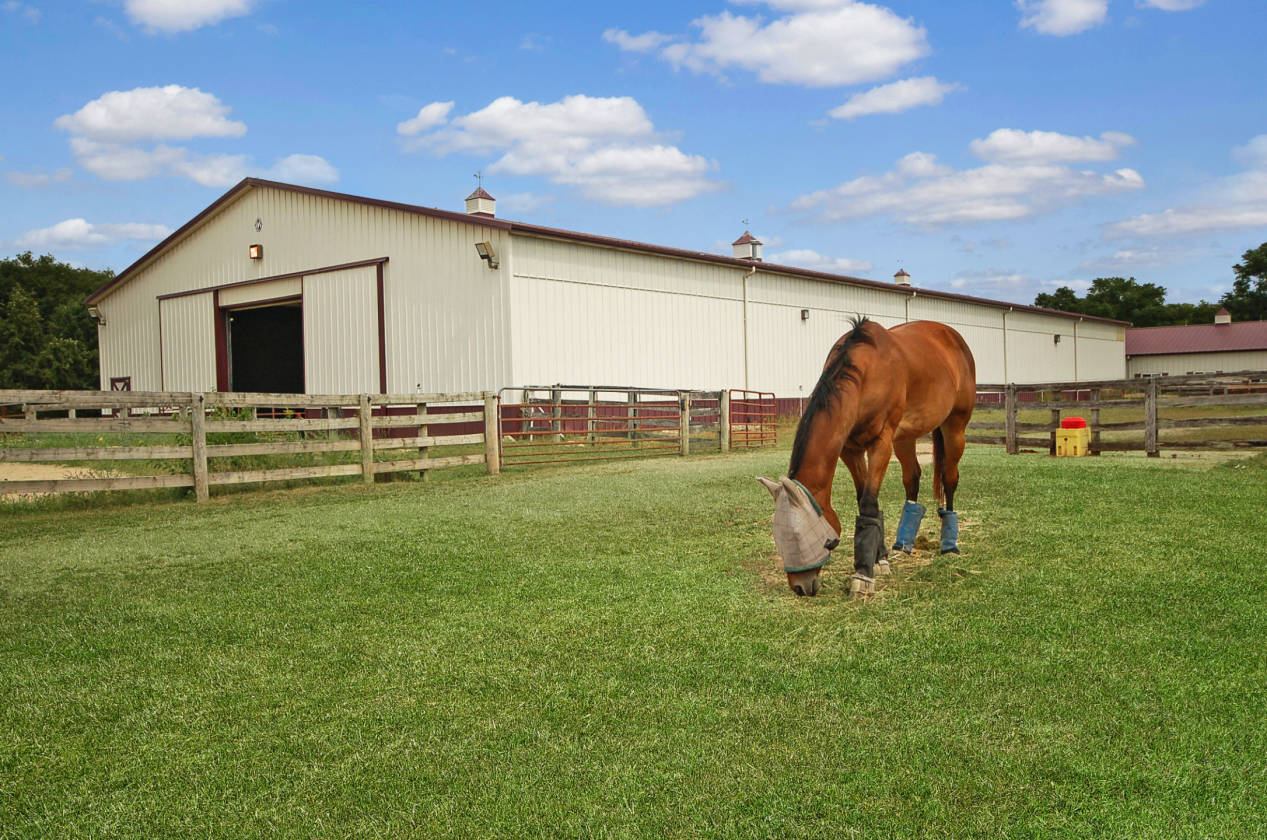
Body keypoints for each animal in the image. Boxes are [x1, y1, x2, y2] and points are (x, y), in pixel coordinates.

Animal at [758, 318, 976, 597]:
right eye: (778, 536)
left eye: (826, 542)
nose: (800, 587)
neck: (867, 372)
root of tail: (951, 335)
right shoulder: (850, 449)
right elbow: (865, 499)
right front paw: (880, 560)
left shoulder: (880, 443)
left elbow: (869, 503)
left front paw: (863, 575)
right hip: (904, 437)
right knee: (912, 478)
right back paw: (904, 543)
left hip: (955, 427)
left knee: (949, 477)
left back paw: (949, 544)